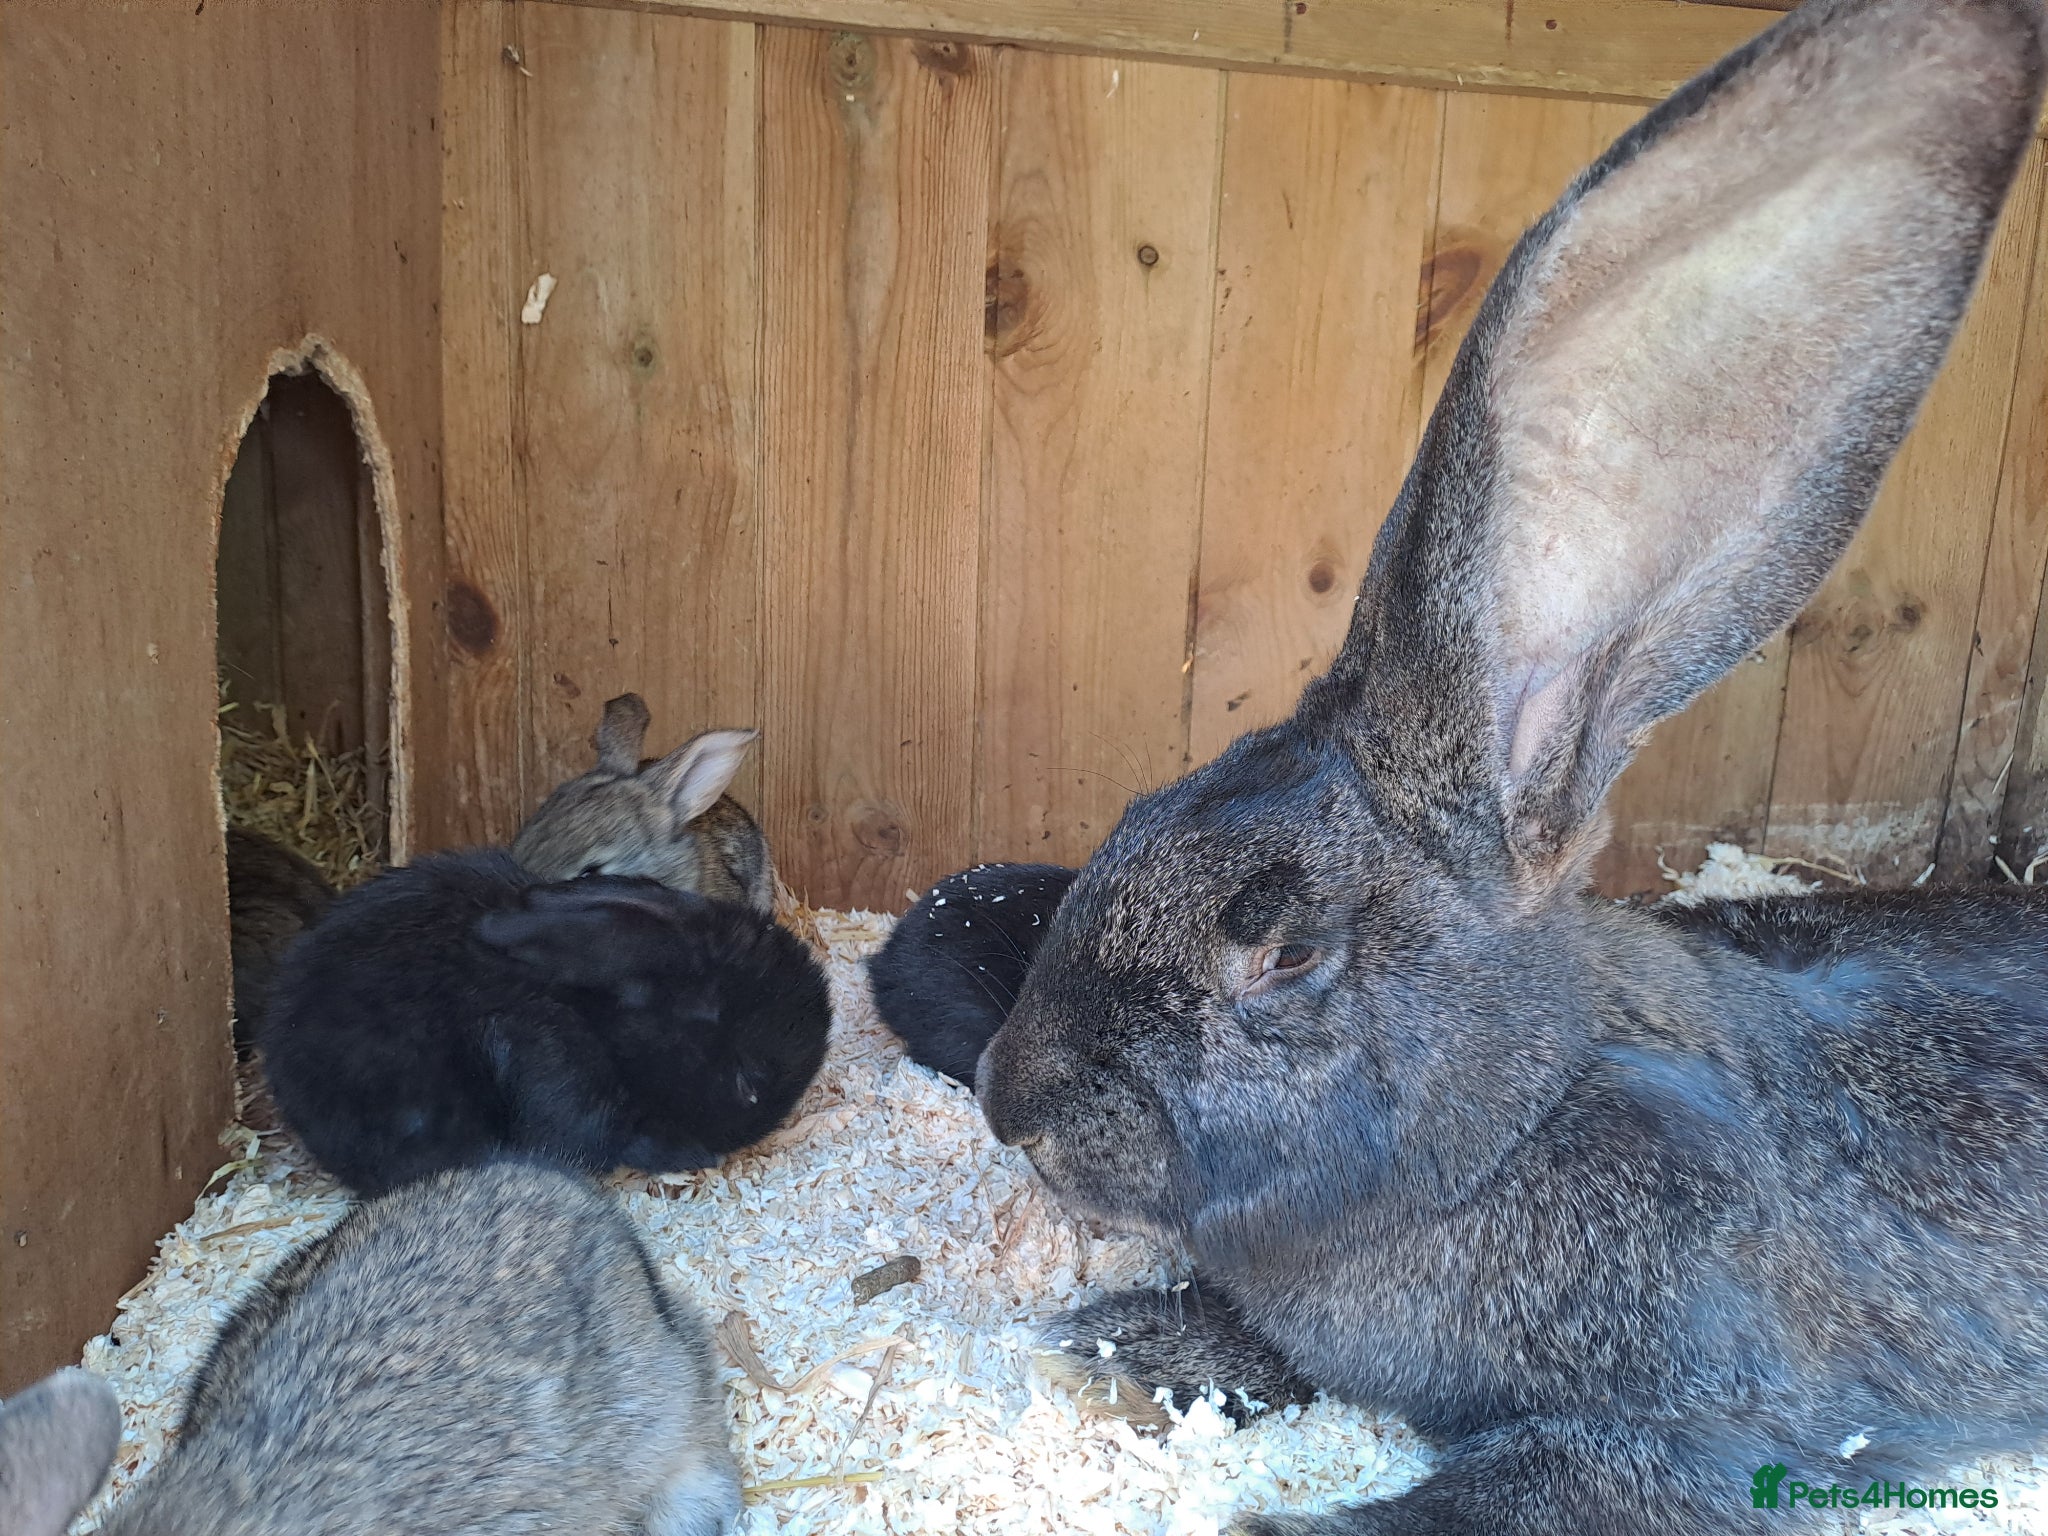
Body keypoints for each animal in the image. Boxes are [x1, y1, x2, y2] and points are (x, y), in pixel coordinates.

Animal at [976, 0, 2048, 1531]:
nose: (1010, 1100)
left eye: (1279, 946)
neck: (1521, 1116)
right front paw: (1109, 1352)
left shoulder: (1699, 1430)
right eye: (1133, 814)